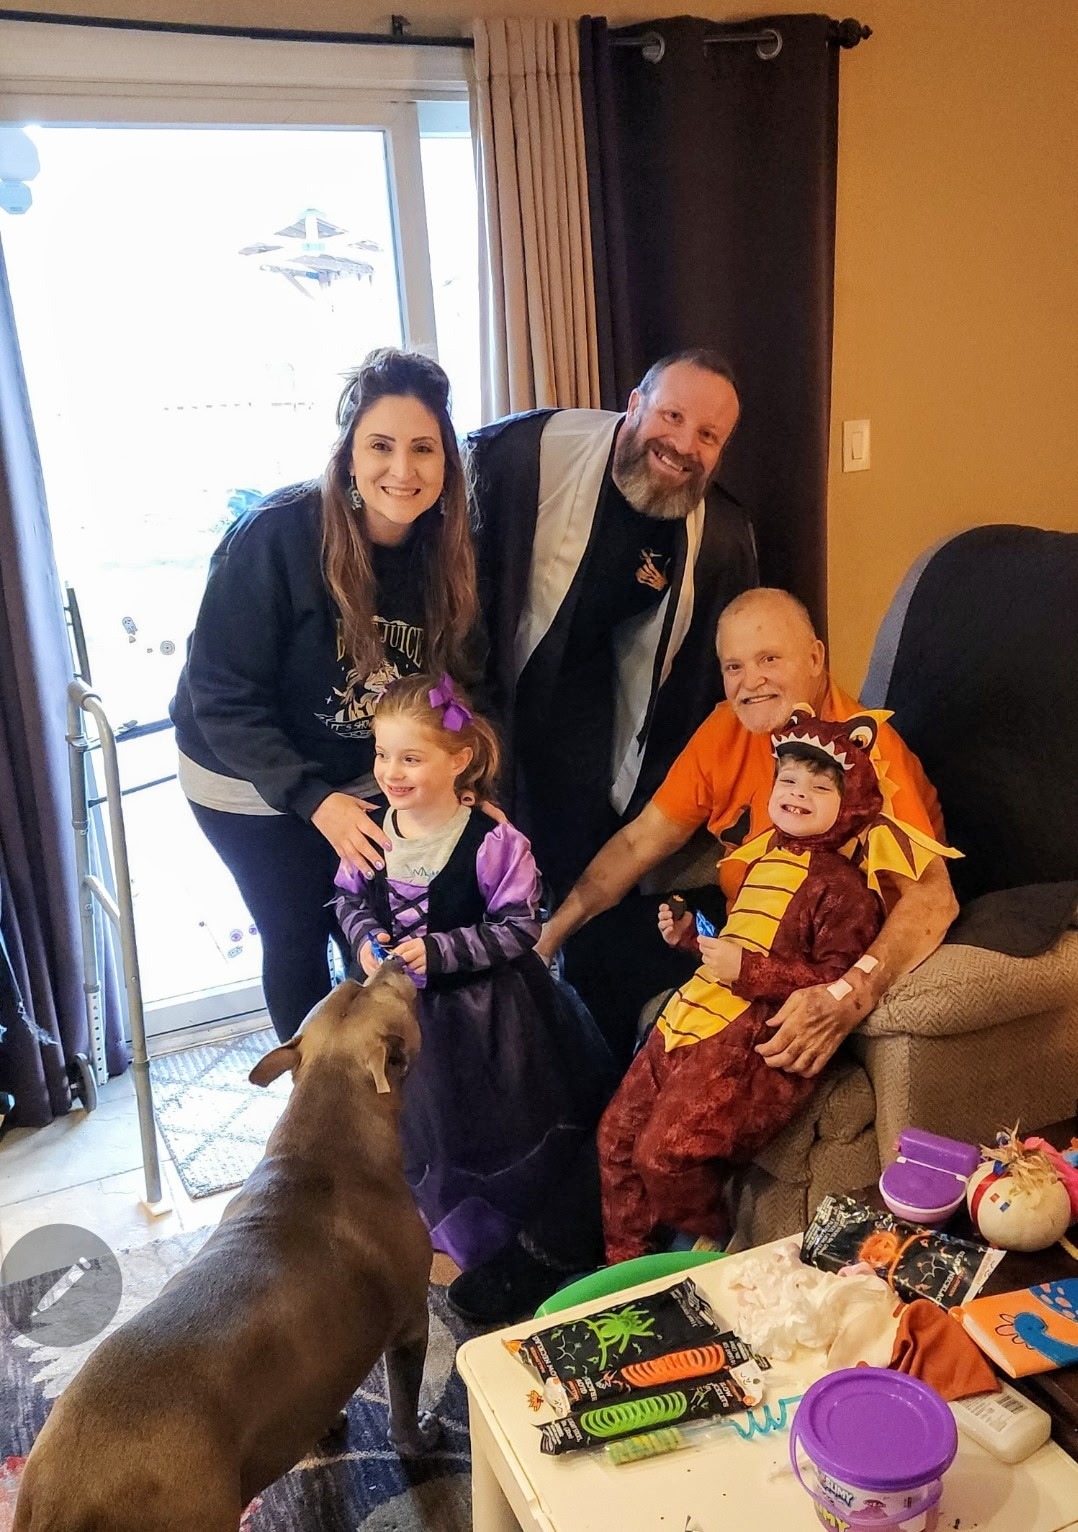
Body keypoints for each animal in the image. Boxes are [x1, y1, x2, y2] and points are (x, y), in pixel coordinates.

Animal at [14, 964, 437, 1532]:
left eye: (354, 986)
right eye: (381, 990)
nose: (388, 961)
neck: (323, 1138)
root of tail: (67, 1500)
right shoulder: (412, 1323)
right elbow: (403, 1408)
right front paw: (418, 1441)